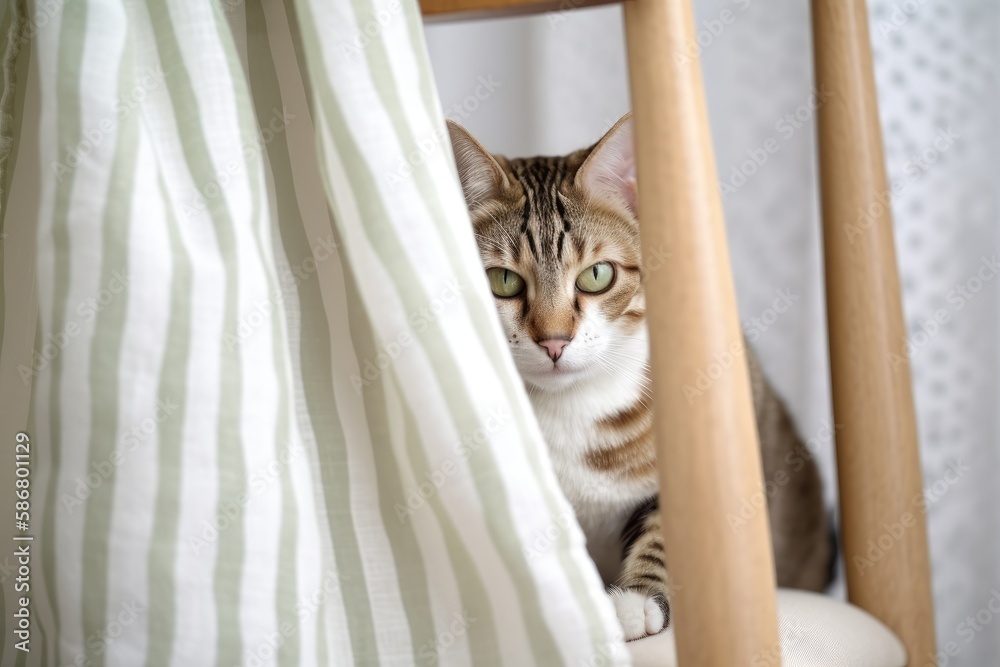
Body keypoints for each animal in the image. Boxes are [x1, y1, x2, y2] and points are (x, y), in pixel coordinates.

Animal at [450, 115, 832, 640]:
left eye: (597, 276)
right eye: (503, 282)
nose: (554, 341)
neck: (573, 407)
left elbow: (670, 529)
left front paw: (636, 600)